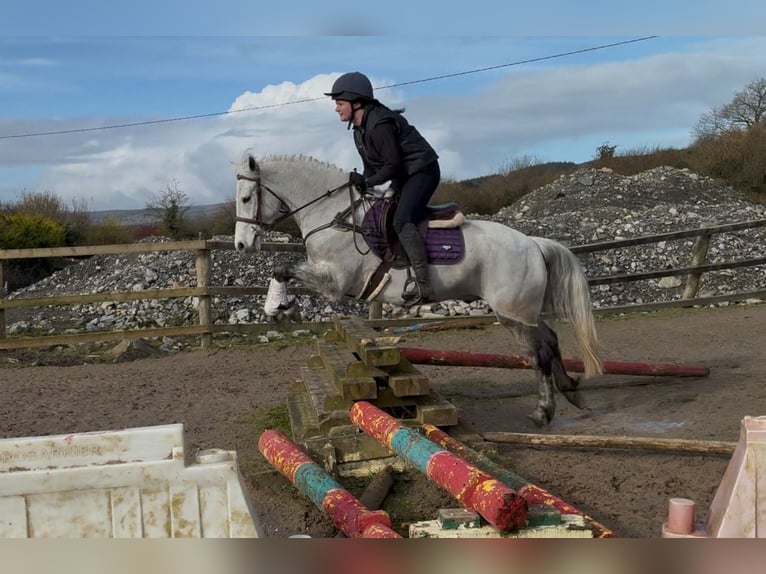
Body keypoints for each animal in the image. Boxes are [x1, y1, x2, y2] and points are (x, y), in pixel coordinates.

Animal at [233, 153, 603, 426]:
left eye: (247, 197)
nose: (241, 245)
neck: (333, 216)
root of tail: (532, 243)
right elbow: (283, 270)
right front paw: (282, 307)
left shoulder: (335, 282)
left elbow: (283, 268)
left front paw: (279, 307)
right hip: (522, 312)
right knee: (550, 342)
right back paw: (572, 391)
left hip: (512, 313)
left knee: (539, 353)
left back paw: (544, 411)